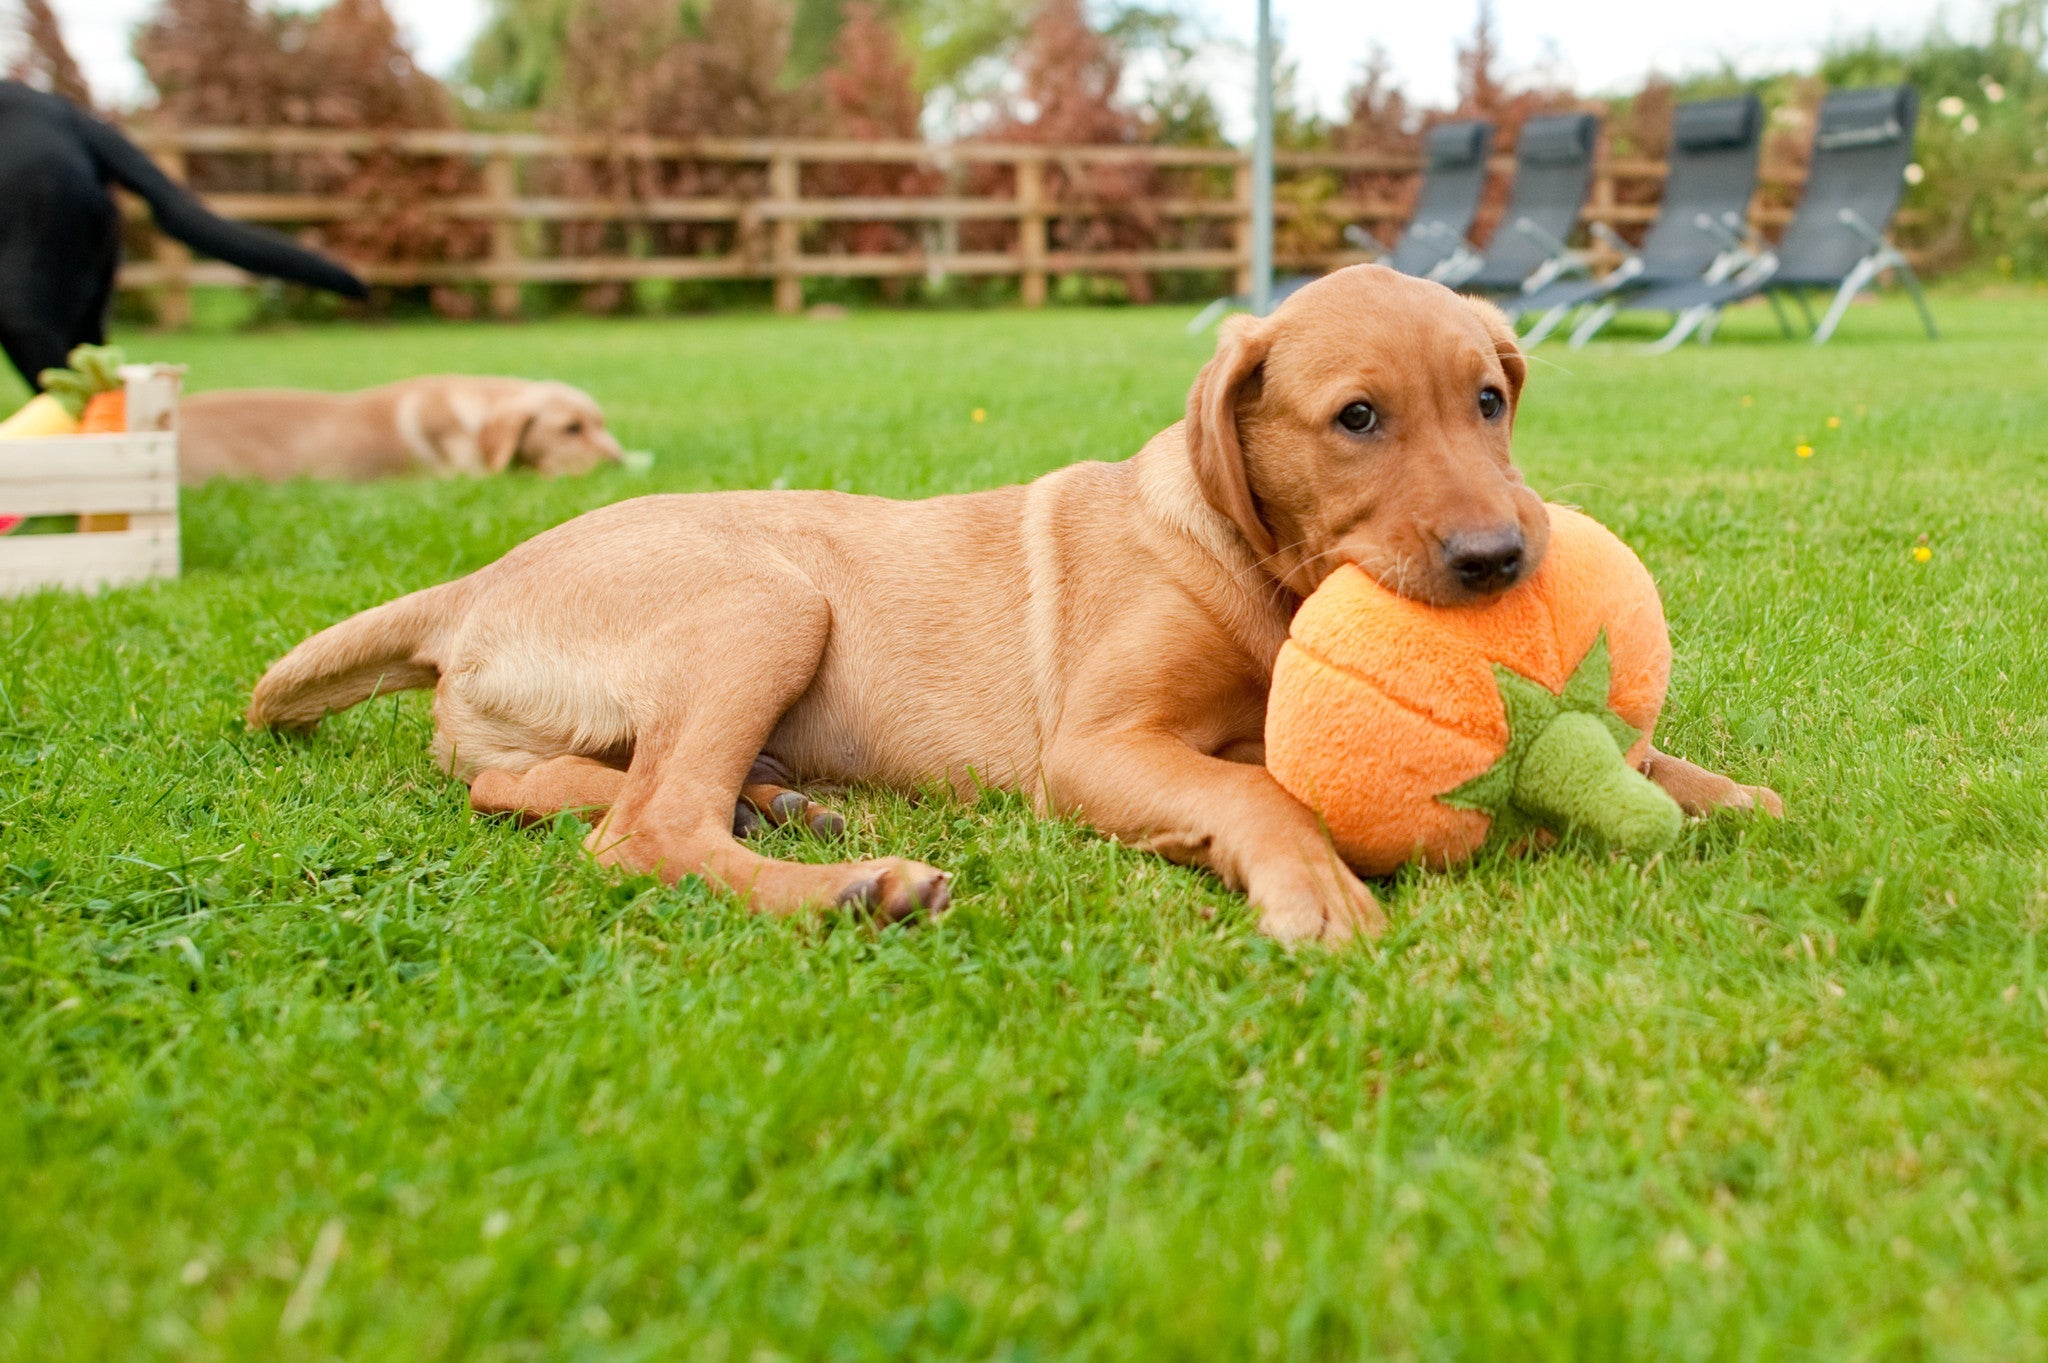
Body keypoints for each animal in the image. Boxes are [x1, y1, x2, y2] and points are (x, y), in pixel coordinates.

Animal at [243, 268, 1777, 945]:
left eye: (1490, 400)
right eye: (1356, 418)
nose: (1499, 558)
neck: (1256, 570)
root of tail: (471, 584)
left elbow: (1646, 754)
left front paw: (1715, 789)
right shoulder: (1096, 747)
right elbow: (1260, 788)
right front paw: (1313, 886)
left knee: (539, 787)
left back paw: (786, 804)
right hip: (764, 598)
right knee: (643, 830)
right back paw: (849, 882)